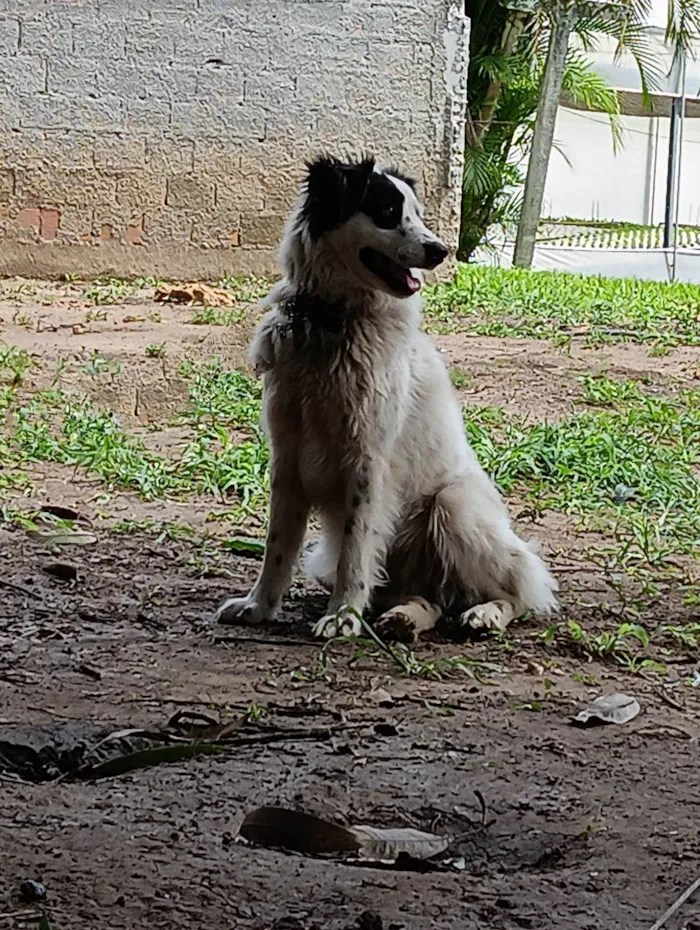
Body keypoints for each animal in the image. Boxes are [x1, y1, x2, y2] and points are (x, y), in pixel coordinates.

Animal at [213, 156, 556, 640]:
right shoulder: (287, 456)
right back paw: (403, 617)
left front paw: (342, 615)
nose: (440, 250)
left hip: (454, 506)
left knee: (521, 590)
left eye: (418, 213)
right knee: (427, 600)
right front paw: (259, 606)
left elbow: (356, 553)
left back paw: (485, 614)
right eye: (389, 212)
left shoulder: (368, 462)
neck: (333, 324)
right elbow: (278, 545)